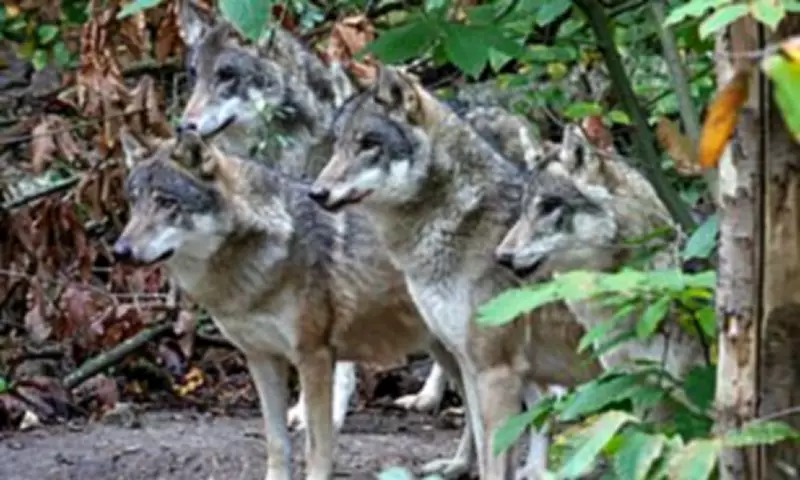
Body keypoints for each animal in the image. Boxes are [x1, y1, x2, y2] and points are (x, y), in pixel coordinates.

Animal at [111, 128, 474, 480]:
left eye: (166, 202)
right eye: (134, 202)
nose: (120, 251)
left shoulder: (314, 357)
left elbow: (317, 446)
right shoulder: (261, 358)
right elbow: (276, 442)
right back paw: (457, 466)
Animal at [308, 65, 603, 479]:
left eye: (368, 144)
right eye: (338, 144)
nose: (316, 192)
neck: (459, 220)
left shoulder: (495, 367)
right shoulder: (476, 361)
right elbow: (485, 438)